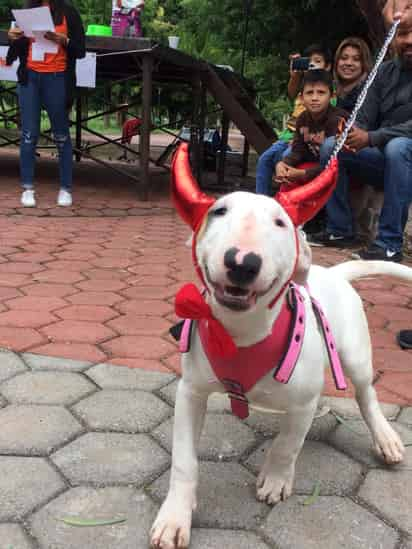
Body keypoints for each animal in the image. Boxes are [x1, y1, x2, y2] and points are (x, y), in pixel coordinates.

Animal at [150, 144, 408, 548]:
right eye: (219, 211)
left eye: (281, 223)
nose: (242, 262)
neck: (242, 332)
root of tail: (332, 273)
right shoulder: (190, 392)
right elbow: (184, 460)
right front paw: (175, 517)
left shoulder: (303, 403)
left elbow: (288, 445)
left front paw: (274, 480)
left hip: (355, 357)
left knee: (366, 395)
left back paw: (385, 438)